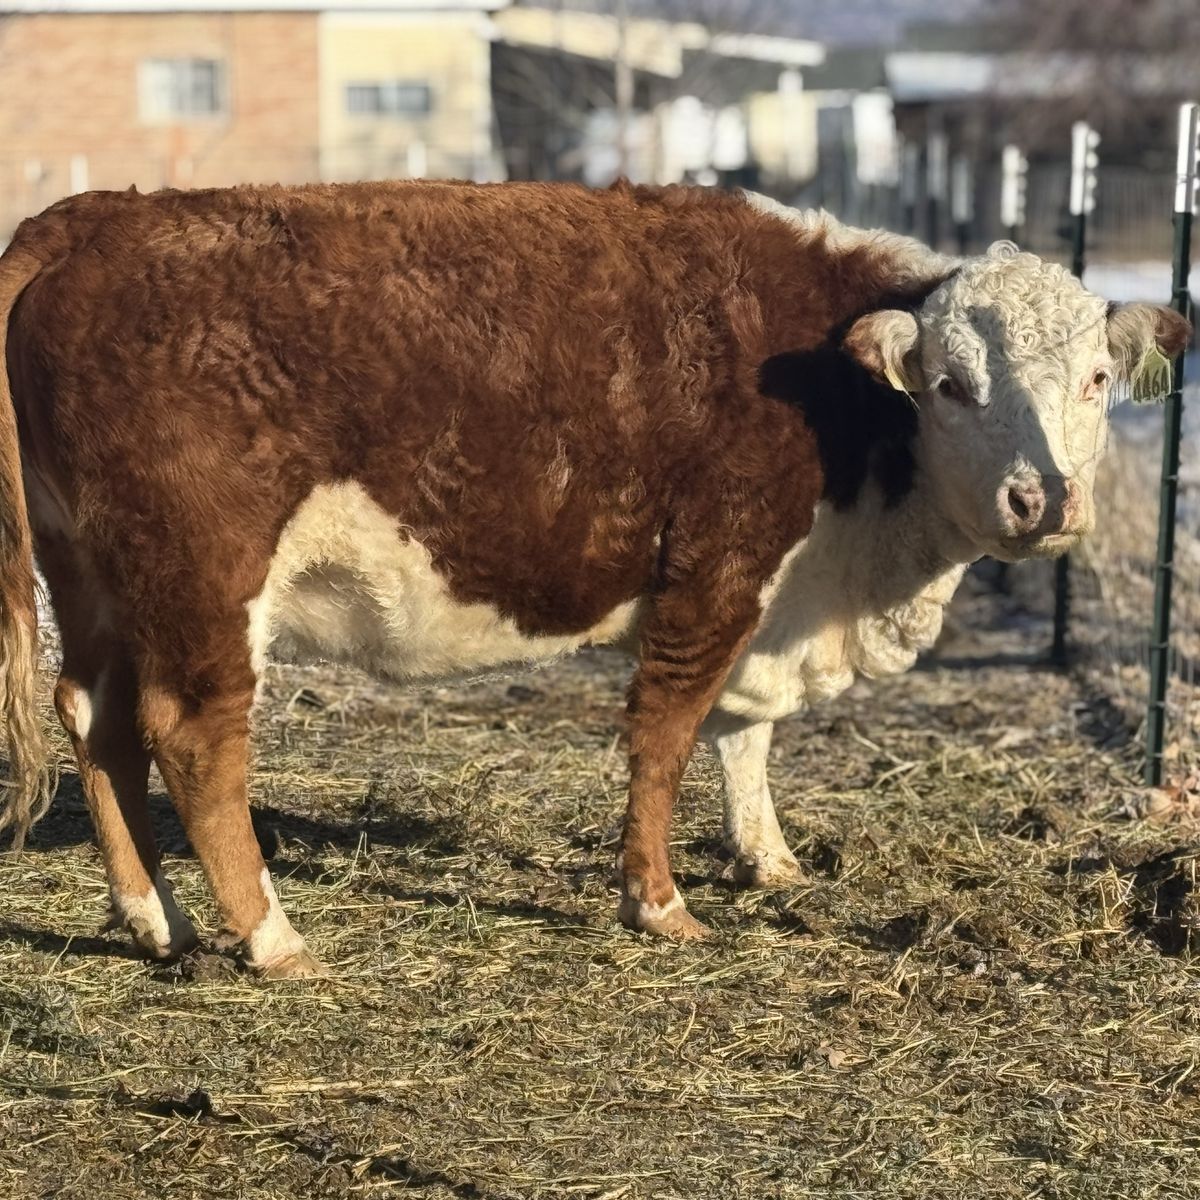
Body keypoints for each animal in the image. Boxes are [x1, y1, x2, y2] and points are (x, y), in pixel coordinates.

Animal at [0, 181, 1187, 977]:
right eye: (950, 385)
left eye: (1095, 379)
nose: (1041, 502)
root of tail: (91, 221)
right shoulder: (717, 566)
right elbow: (668, 733)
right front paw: (657, 903)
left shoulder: (770, 604)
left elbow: (745, 734)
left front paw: (768, 859)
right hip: (204, 580)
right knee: (194, 737)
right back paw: (270, 936)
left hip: (93, 573)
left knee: (93, 714)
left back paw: (156, 919)